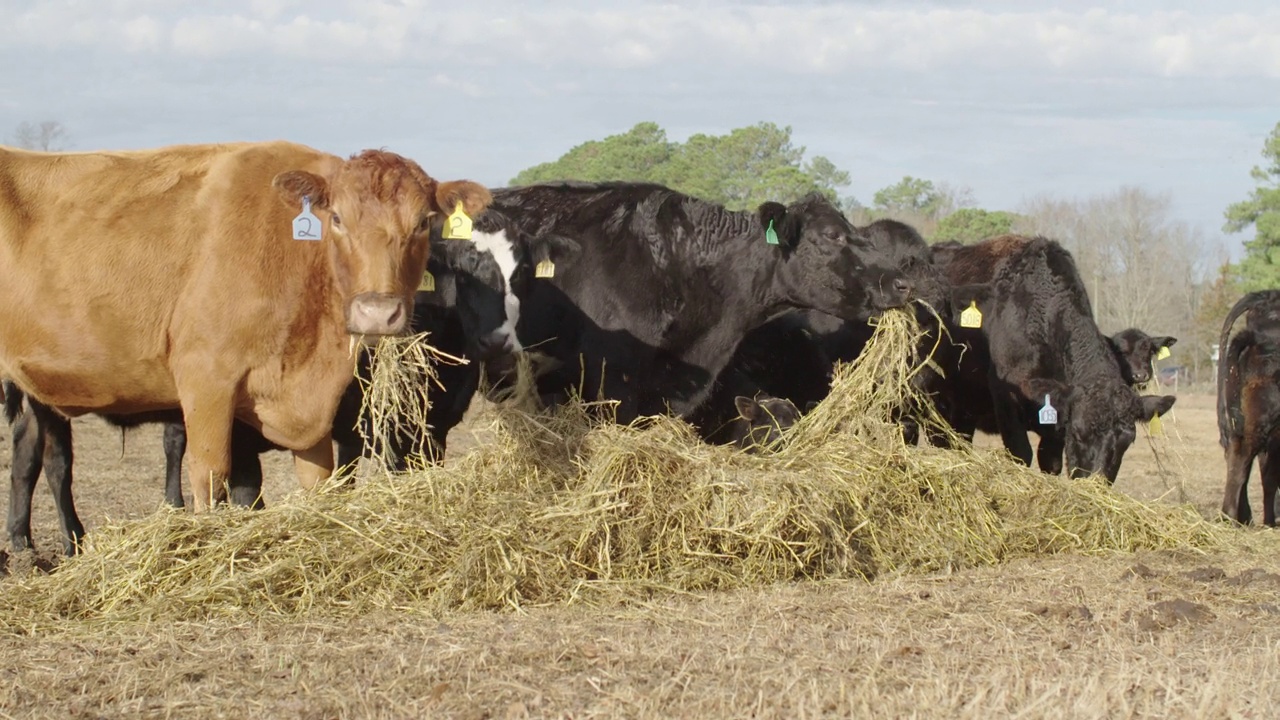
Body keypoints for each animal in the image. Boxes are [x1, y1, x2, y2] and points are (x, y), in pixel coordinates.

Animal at [0, 140, 488, 507]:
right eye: (336, 218)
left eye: (423, 223)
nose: (377, 312)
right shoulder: (206, 380)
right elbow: (211, 476)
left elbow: (321, 479)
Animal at [931, 235, 1177, 481]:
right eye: (1077, 432)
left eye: (1127, 441)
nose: (1094, 483)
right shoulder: (1006, 401)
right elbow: (1021, 454)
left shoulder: (1055, 425)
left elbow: (1052, 464)